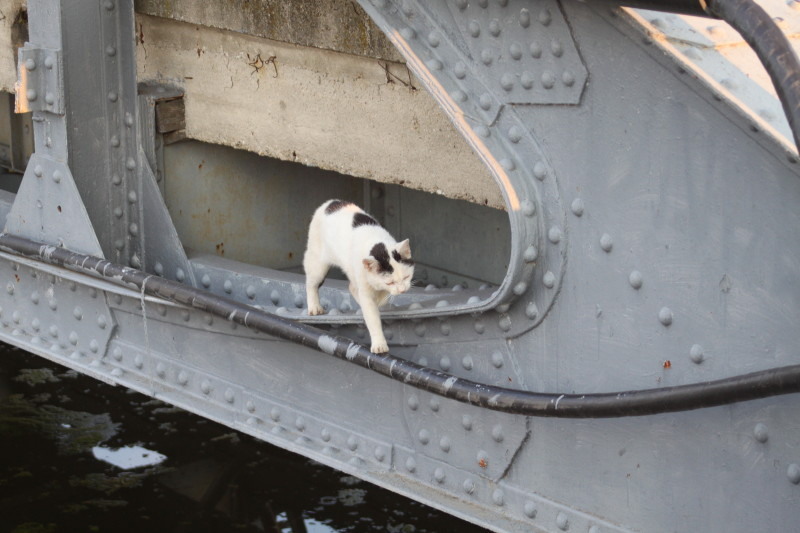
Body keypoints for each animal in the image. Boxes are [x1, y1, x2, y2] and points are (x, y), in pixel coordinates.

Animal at [304, 199, 415, 354]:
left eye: (406, 277)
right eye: (390, 282)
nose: (402, 290)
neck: (376, 243)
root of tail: (330, 203)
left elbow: (379, 299)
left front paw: (380, 300)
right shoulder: (365, 288)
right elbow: (372, 318)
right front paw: (379, 344)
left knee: (351, 286)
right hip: (317, 262)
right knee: (311, 283)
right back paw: (314, 307)